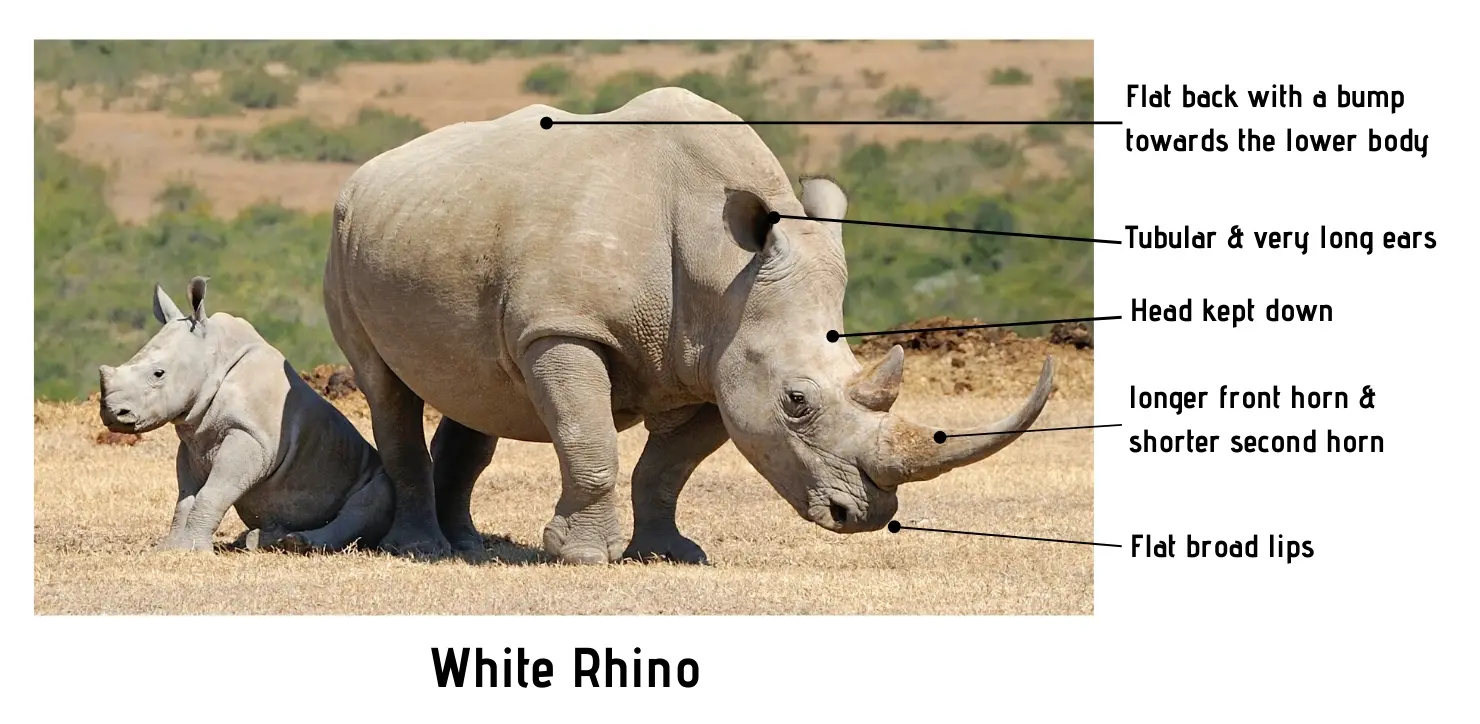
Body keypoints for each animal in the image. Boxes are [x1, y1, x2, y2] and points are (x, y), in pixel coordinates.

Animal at [97, 277, 392, 554]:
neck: (214, 358)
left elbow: (213, 492)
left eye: (158, 374)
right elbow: (184, 498)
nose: (112, 413)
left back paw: (298, 544)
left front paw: (194, 551)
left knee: (373, 498)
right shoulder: (193, 443)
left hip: (369, 473)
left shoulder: (251, 438)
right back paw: (257, 541)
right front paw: (169, 549)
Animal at [324, 86, 1055, 563]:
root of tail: (368, 171)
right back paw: (421, 550)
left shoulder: (718, 362)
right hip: (343, 233)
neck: (723, 268)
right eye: (797, 401)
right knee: (387, 386)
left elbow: (667, 468)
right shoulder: (565, 329)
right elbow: (591, 443)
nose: (863, 518)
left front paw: (671, 554)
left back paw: (469, 547)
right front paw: (580, 557)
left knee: (476, 388)